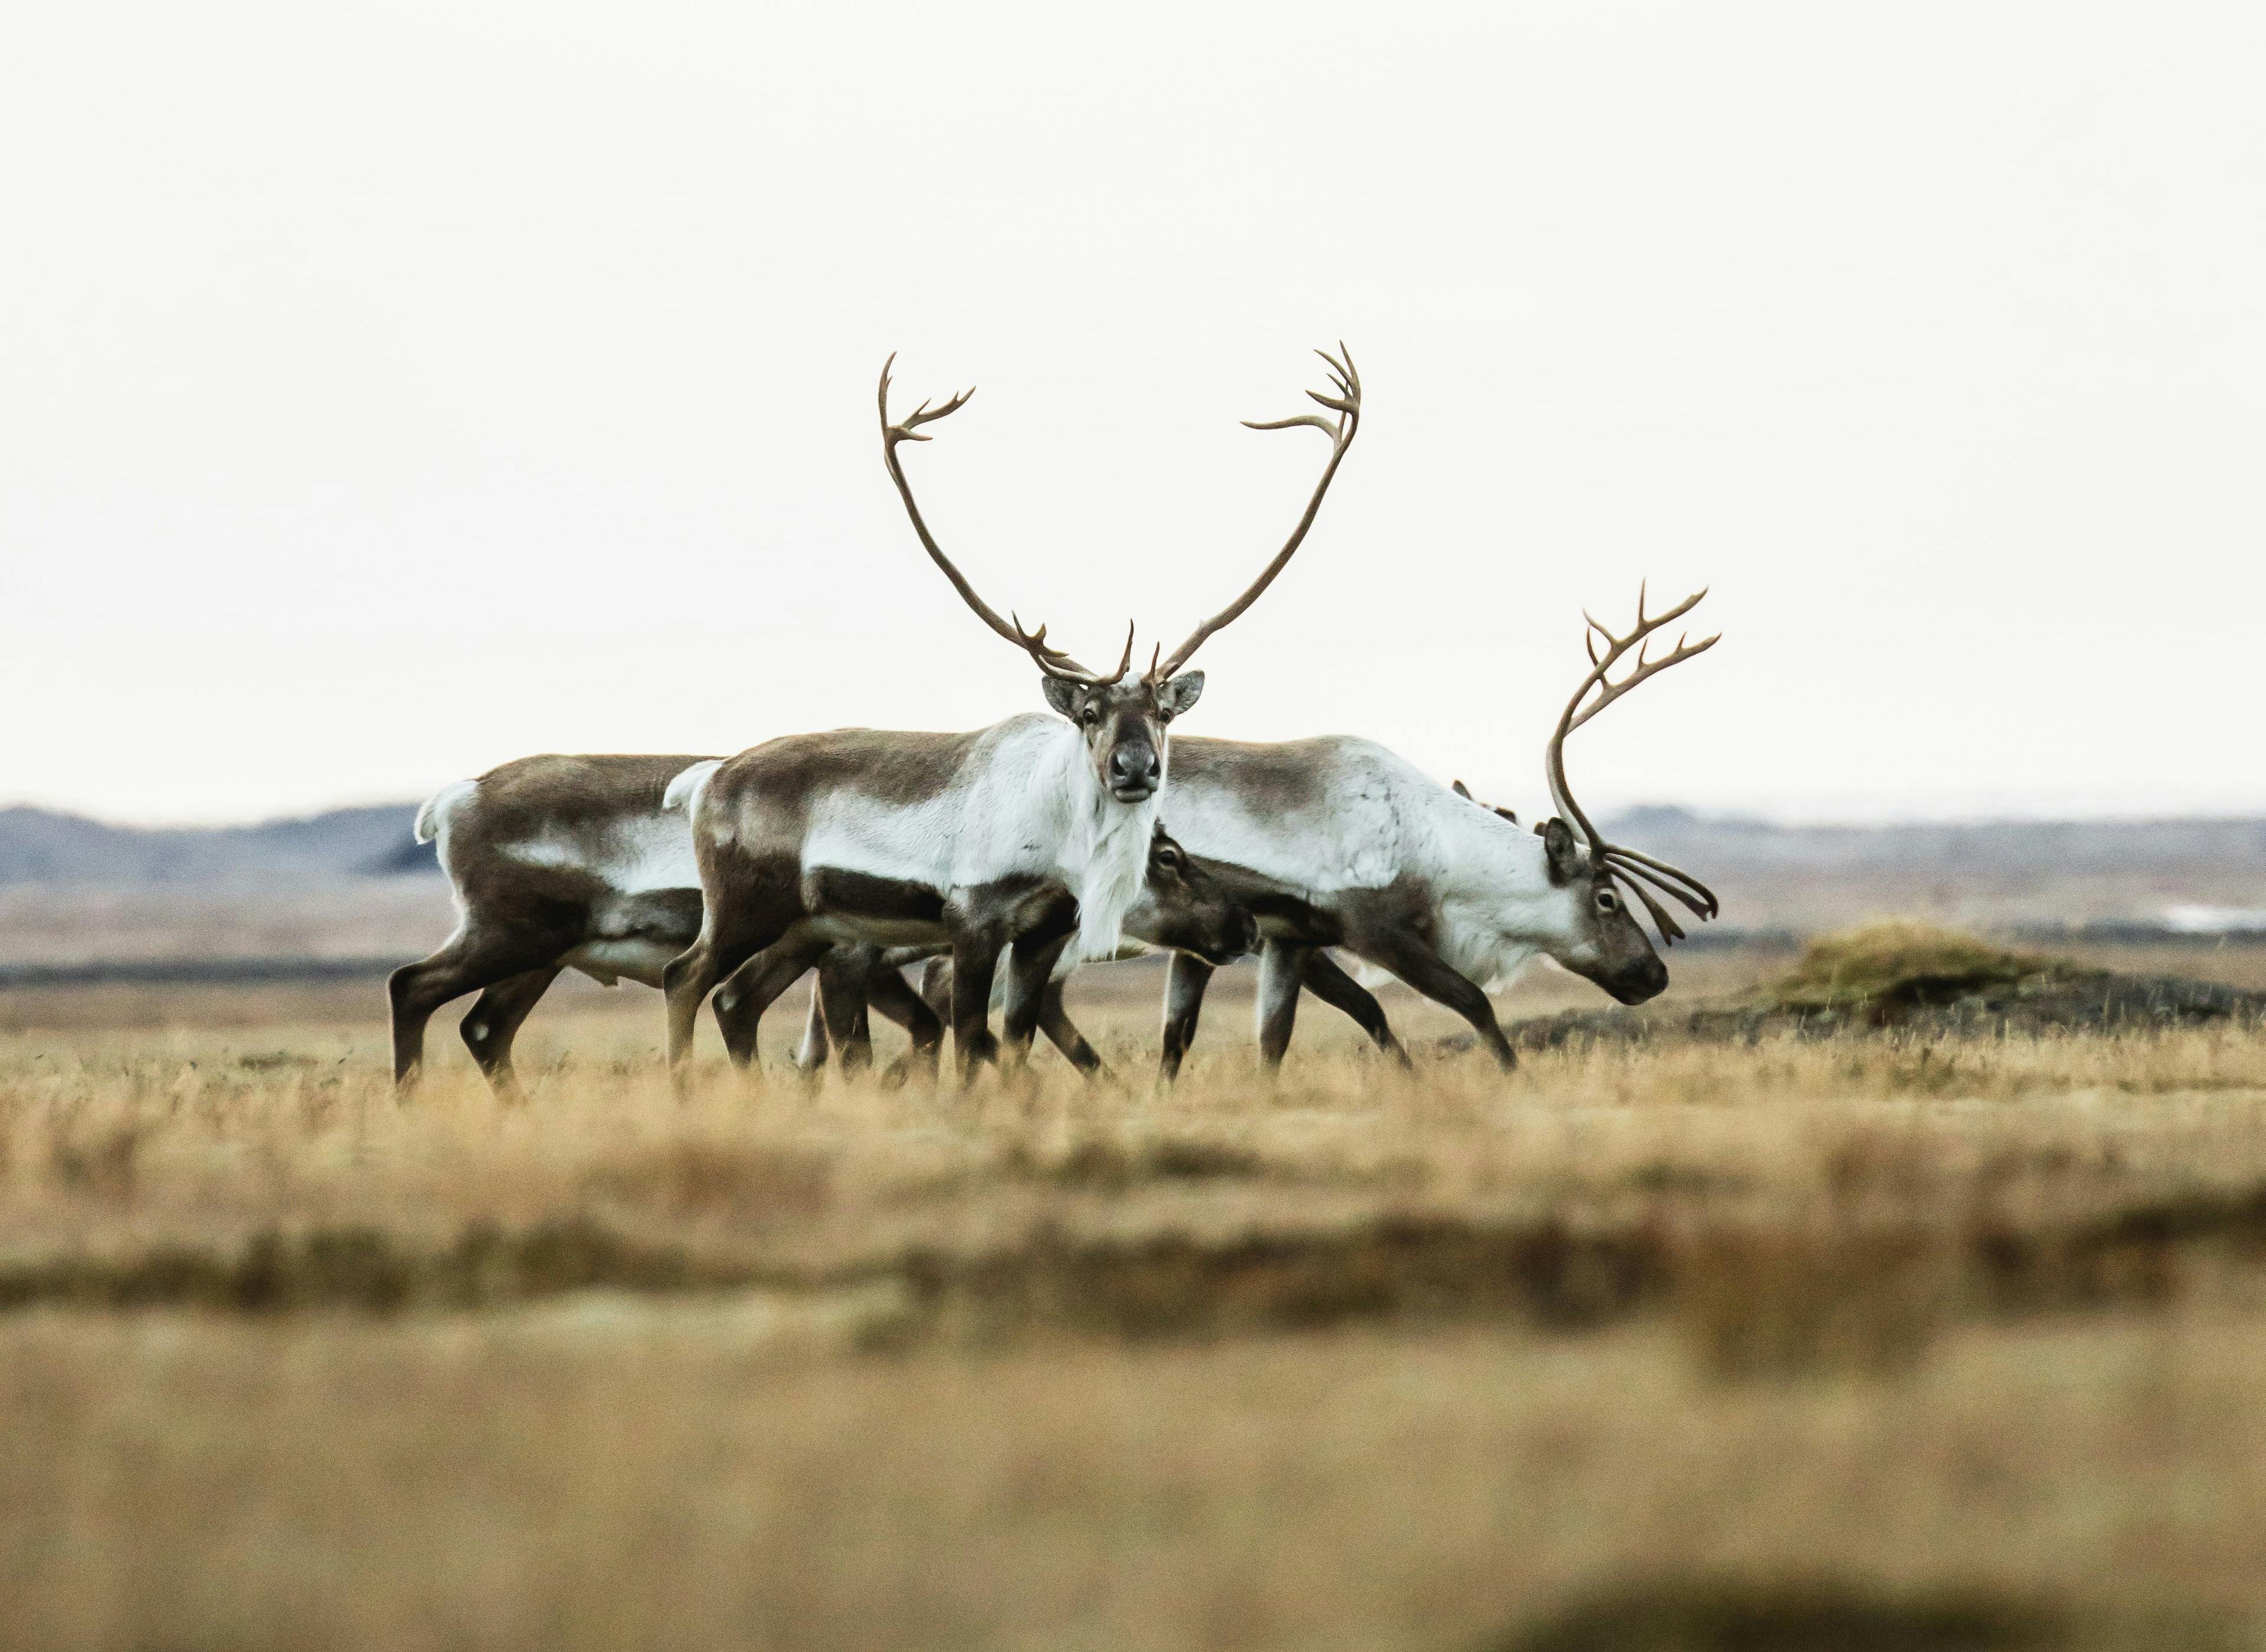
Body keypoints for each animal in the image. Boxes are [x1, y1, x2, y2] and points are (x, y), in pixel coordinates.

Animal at [659, 345, 1364, 1083]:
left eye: (1164, 713)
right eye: (1090, 711)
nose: (1135, 768)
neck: (1060, 844)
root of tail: (707, 780)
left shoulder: (1042, 934)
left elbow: (1017, 1036)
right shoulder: (973, 921)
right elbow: (972, 1036)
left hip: (808, 927)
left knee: (736, 998)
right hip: (744, 907)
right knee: (686, 977)